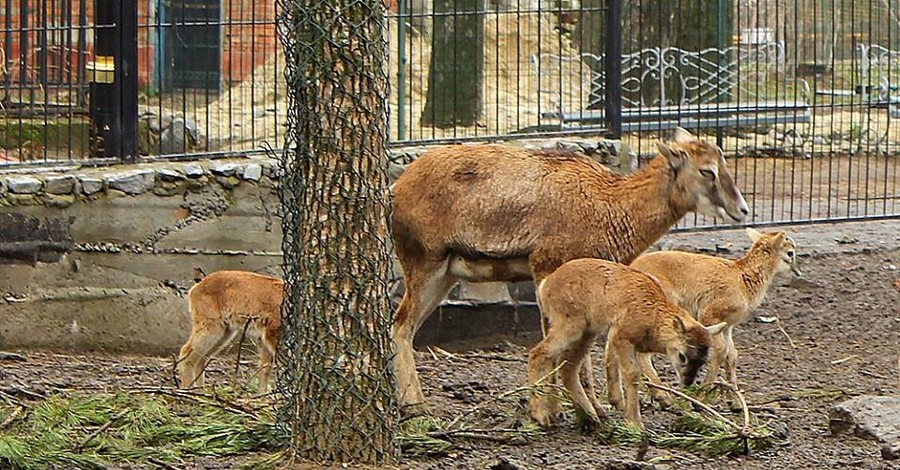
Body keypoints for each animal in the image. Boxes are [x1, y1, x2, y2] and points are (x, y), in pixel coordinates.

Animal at [390, 126, 748, 410]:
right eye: (707, 171)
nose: (741, 209)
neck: (611, 205)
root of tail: (395, 191)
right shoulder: (547, 268)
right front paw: (559, 410)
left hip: (446, 275)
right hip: (425, 264)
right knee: (401, 325)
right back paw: (415, 405)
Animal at [528, 258, 724, 428]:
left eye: (703, 360)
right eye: (682, 356)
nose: (688, 381)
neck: (653, 312)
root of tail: (545, 285)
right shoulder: (621, 337)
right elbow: (632, 374)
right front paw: (635, 422)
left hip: (587, 334)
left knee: (568, 367)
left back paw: (591, 418)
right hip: (570, 327)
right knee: (539, 353)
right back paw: (541, 416)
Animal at [632, 229, 800, 404]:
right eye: (790, 252)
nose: (797, 272)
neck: (743, 278)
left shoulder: (727, 326)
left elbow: (731, 355)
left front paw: (736, 402)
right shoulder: (710, 317)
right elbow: (720, 351)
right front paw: (701, 398)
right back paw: (663, 396)